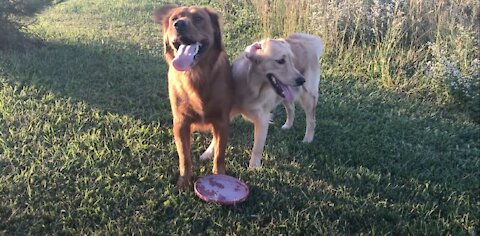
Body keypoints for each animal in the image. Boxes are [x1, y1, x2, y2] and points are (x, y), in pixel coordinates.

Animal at [151, 5, 232, 188]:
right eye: (174, 19)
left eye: (198, 19)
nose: (179, 24)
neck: (196, 75)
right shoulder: (181, 123)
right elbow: (184, 156)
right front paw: (184, 180)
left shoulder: (221, 121)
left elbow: (219, 154)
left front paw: (219, 175)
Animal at [201, 32, 324, 168]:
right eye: (280, 61)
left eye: (292, 61)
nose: (301, 80)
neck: (250, 86)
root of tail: (306, 40)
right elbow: (216, 139)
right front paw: (208, 153)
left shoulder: (262, 119)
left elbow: (257, 147)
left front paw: (253, 167)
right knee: (291, 108)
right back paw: (288, 125)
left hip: (308, 97)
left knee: (311, 120)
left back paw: (308, 139)